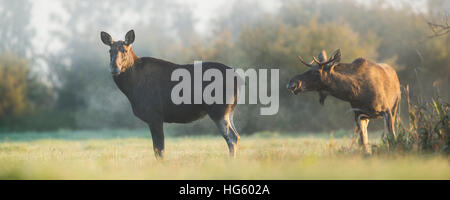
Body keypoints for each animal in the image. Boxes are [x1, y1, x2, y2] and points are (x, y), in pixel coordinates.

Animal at [100, 29, 241, 159]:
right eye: (110, 51)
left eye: (125, 50)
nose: (114, 67)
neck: (132, 89)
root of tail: (239, 79)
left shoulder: (155, 115)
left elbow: (159, 150)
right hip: (230, 111)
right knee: (237, 136)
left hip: (219, 110)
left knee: (232, 137)